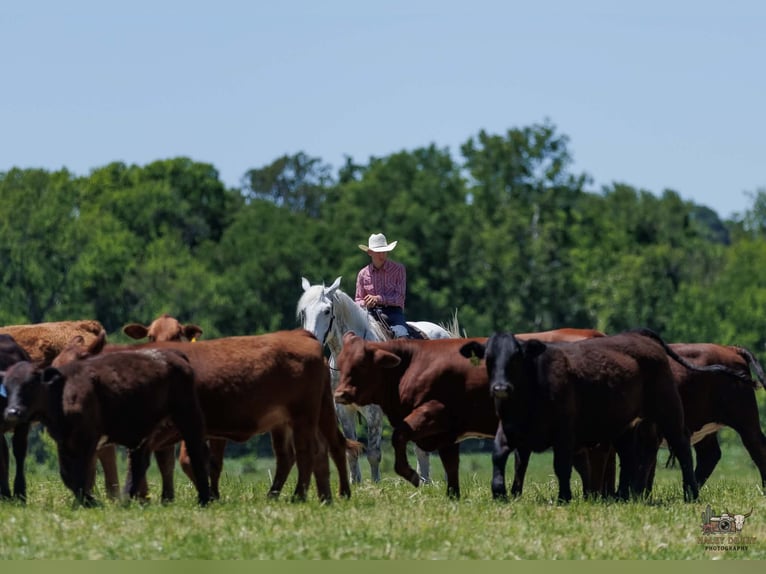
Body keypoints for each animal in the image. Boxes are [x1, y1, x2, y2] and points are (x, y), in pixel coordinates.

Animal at [297, 276, 459, 484]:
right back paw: (424, 481)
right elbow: (352, 451)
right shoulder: (343, 411)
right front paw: (355, 483)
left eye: (327, 311)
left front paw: (375, 484)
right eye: (303, 311)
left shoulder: (374, 412)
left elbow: (374, 453)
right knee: (421, 448)